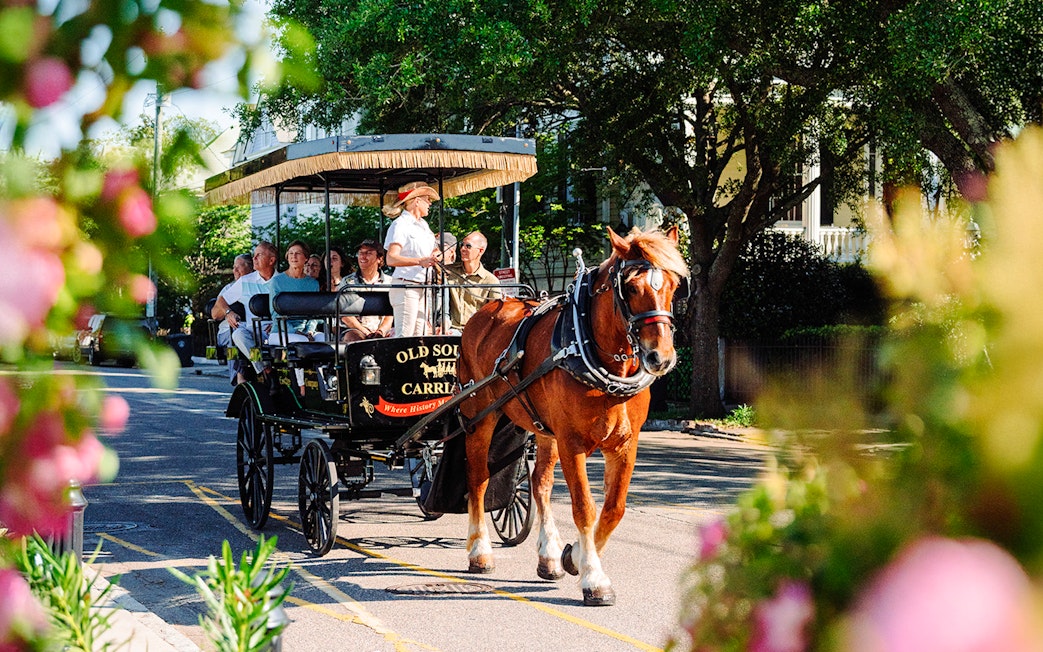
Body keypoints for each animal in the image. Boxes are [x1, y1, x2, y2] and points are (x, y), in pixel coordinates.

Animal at [457, 225, 688, 606]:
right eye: (631, 287)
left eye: (673, 285)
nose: (661, 357)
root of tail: (487, 310)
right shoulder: (572, 442)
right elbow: (584, 507)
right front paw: (594, 579)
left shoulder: (625, 443)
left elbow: (614, 508)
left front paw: (575, 556)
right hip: (480, 417)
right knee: (478, 480)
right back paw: (480, 552)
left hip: (543, 429)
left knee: (540, 484)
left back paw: (548, 556)